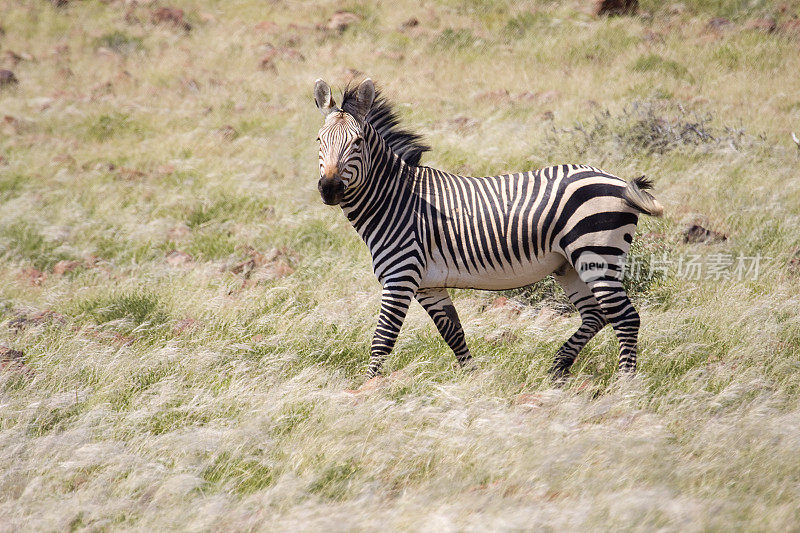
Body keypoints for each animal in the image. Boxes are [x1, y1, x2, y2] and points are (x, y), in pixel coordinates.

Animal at [312, 77, 664, 380]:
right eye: (319, 140)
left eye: (357, 142)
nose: (329, 188)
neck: (396, 199)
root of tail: (620, 183)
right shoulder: (428, 284)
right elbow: (453, 331)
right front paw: (472, 378)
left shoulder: (400, 276)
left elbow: (383, 338)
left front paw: (368, 389)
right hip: (570, 264)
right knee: (596, 315)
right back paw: (557, 369)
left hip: (596, 254)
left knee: (625, 318)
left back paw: (625, 383)